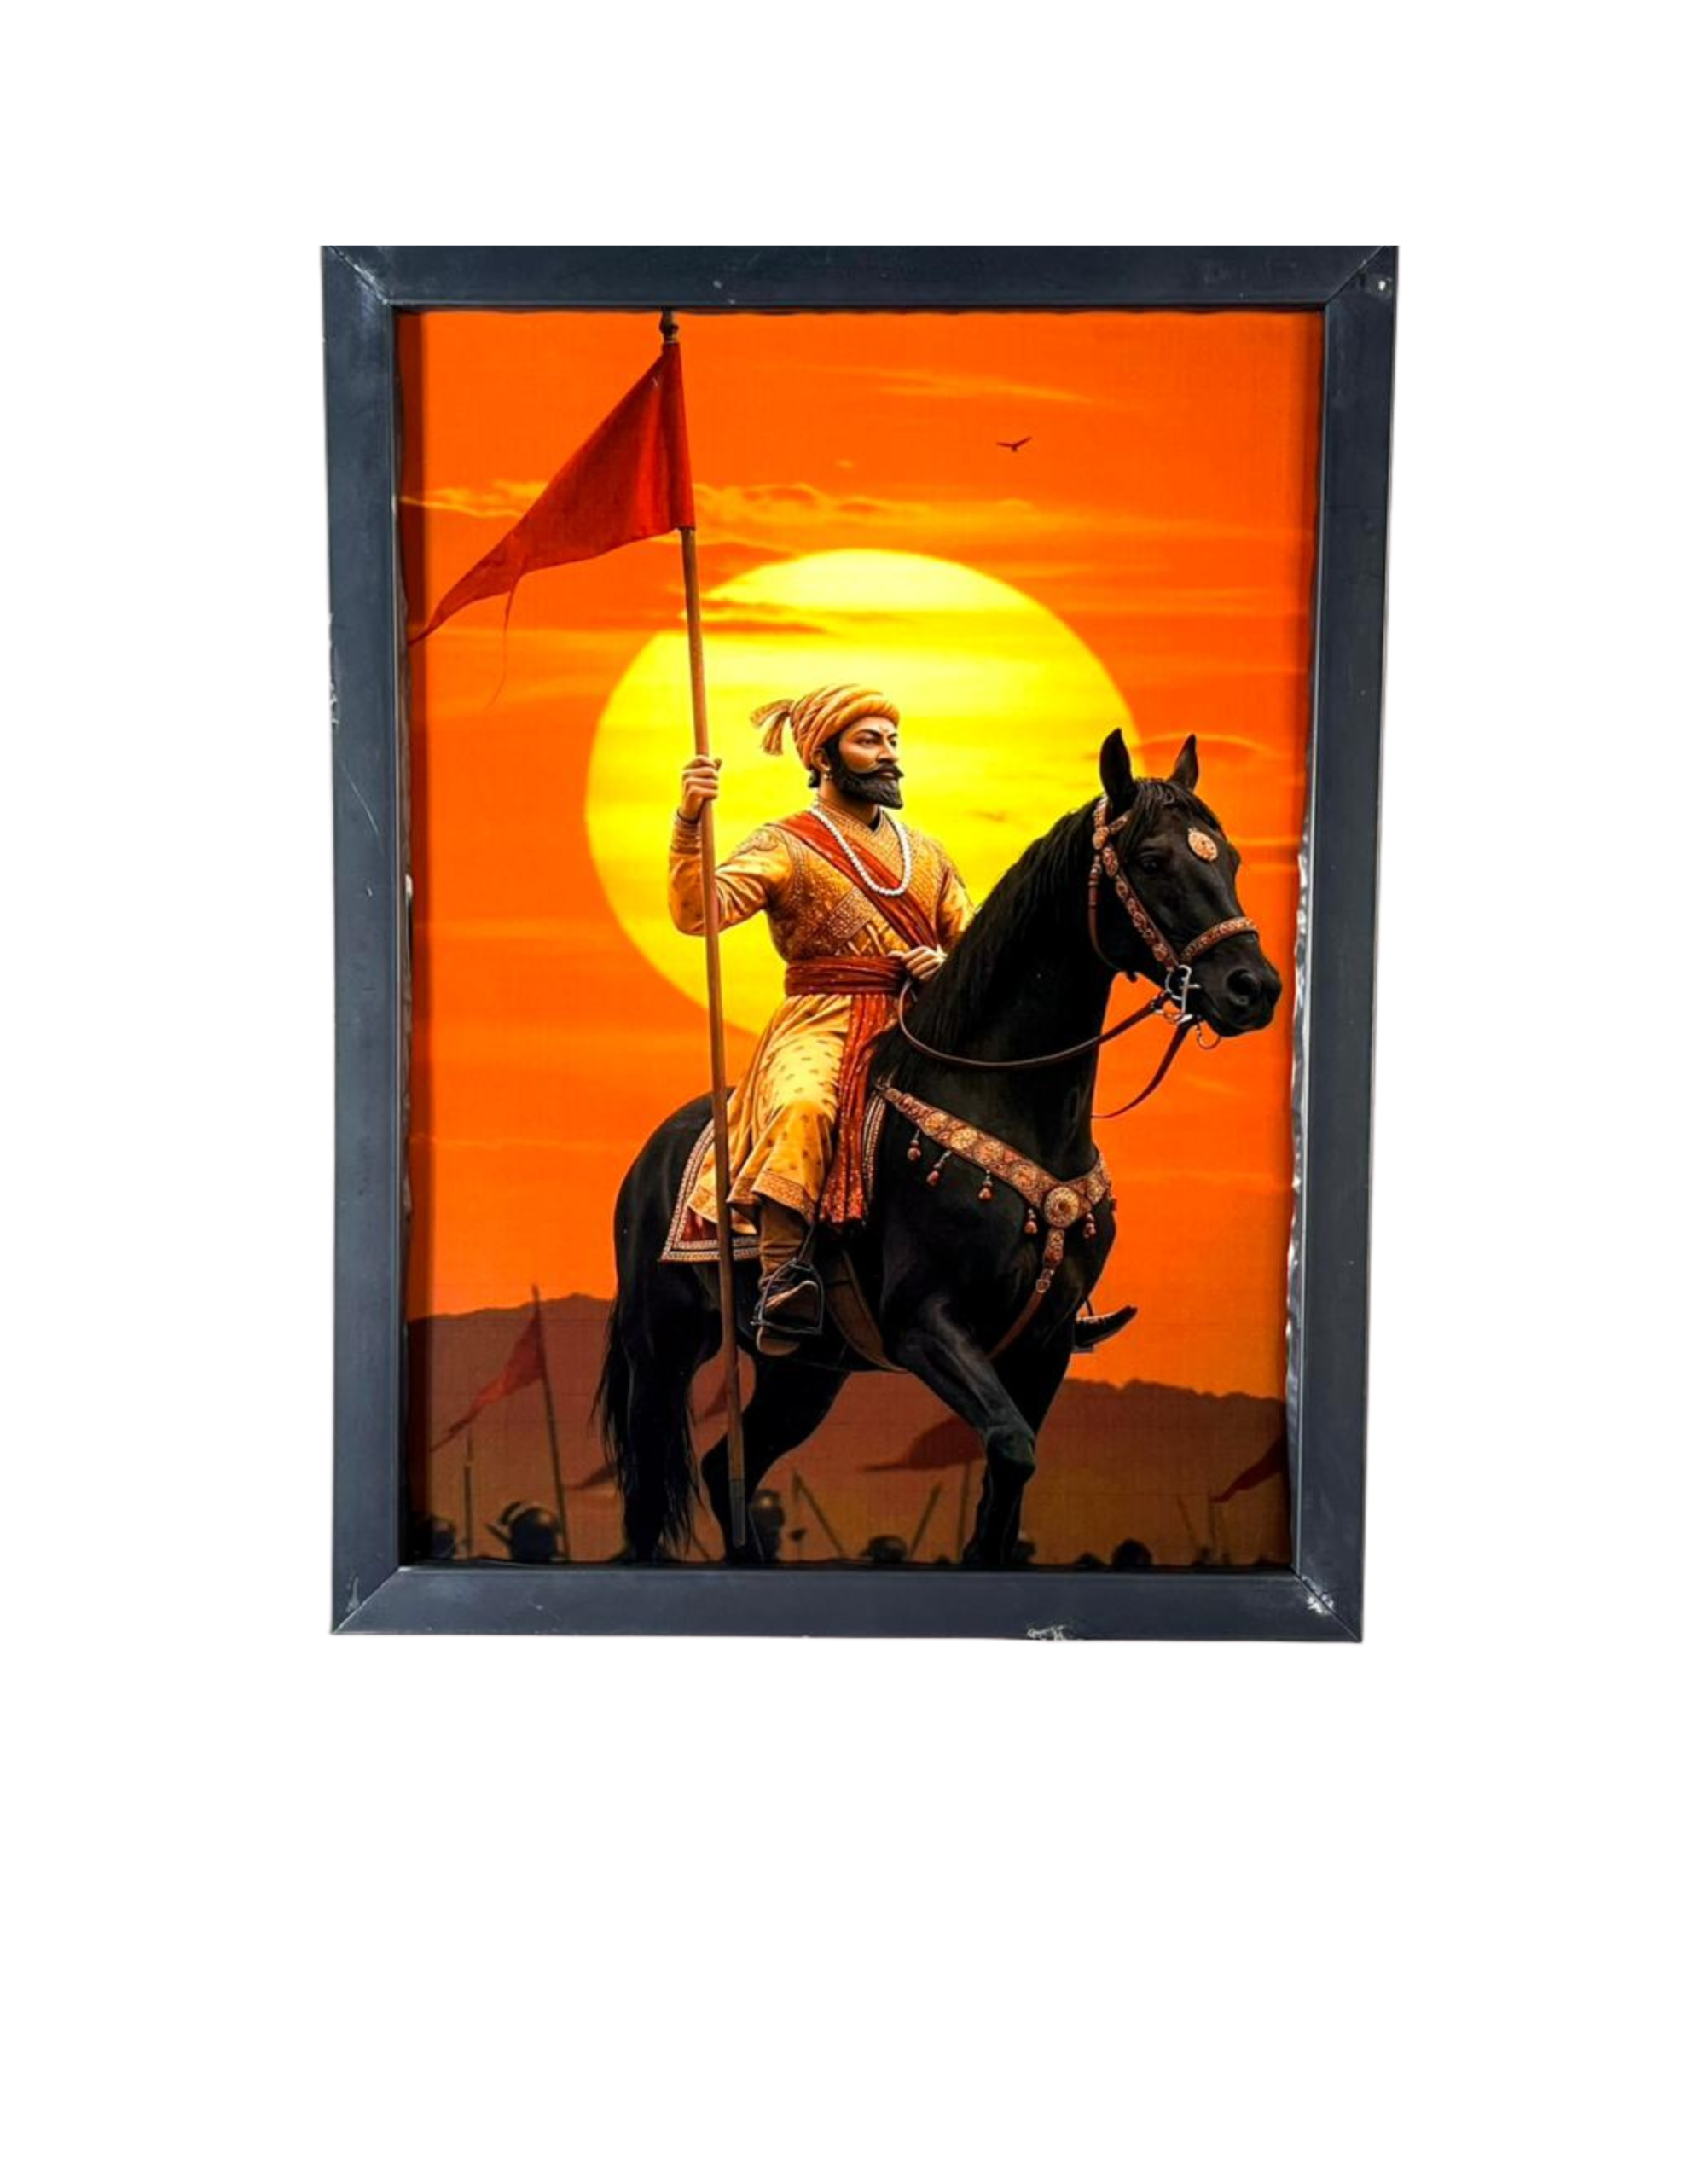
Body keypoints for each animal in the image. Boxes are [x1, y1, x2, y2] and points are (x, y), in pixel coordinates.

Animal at [594, 728, 1282, 1566]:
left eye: (1229, 858)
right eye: (1152, 860)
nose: (1252, 987)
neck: (1009, 1104)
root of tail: (653, 1153)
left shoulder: (1044, 1345)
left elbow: (1005, 1492)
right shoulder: (926, 1323)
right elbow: (1010, 1448)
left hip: (804, 1374)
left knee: (731, 1464)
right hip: (661, 1345)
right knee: (650, 1489)